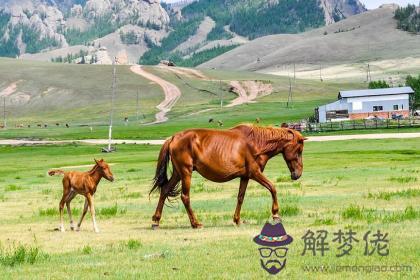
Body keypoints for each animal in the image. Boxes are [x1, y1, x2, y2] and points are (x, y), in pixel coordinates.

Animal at [150, 123, 306, 229]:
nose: (297, 174)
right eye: (299, 150)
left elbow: (240, 197)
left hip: (178, 173)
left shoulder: (245, 176)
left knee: (164, 190)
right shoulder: (255, 173)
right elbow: (273, 188)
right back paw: (196, 223)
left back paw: (156, 221)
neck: (256, 142)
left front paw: (237, 220)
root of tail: (173, 138)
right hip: (185, 173)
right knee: (185, 197)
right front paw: (276, 215)